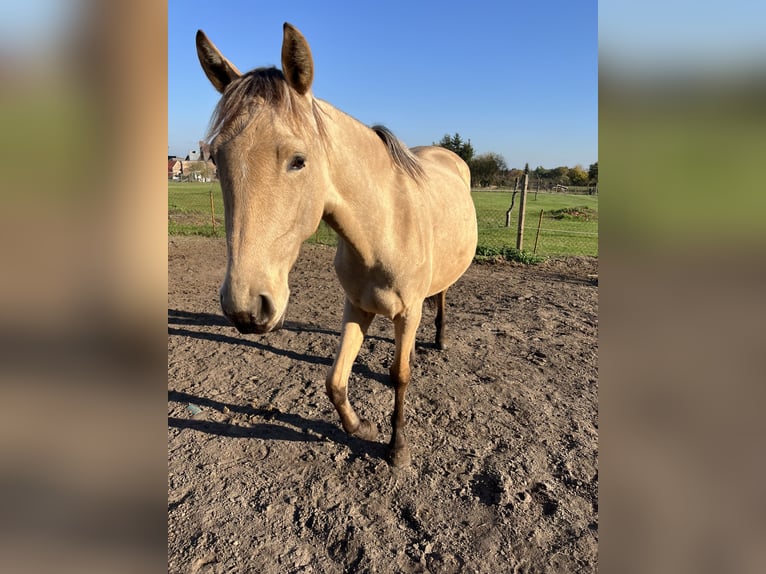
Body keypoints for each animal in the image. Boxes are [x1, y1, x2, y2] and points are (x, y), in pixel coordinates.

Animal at [195, 22, 476, 468]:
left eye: (298, 160)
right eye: (217, 159)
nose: (245, 307)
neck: (383, 230)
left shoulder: (407, 309)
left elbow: (399, 377)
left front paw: (397, 448)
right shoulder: (357, 306)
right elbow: (334, 379)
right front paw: (361, 427)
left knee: (442, 299)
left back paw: (439, 339)